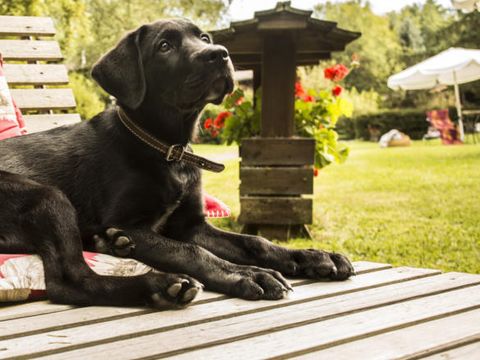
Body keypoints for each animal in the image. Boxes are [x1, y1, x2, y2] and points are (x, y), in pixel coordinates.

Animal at [0, 18, 352, 308]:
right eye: (164, 46)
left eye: (204, 37)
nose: (220, 54)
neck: (168, 151)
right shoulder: (131, 223)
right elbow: (191, 252)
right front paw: (247, 275)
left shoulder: (190, 225)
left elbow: (255, 240)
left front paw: (311, 256)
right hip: (47, 196)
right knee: (69, 282)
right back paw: (157, 285)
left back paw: (115, 245)